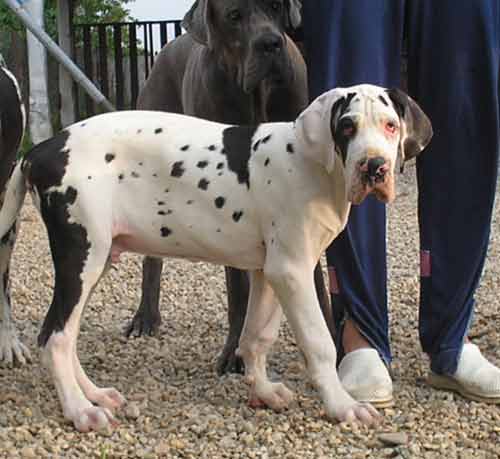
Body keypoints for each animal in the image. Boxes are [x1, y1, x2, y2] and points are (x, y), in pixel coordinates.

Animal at [0, 84, 432, 431]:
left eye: (391, 126)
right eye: (347, 127)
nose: (374, 167)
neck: (314, 164)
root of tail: (39, 150)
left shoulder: (268, 271)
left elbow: (256, 336)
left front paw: (262, 391)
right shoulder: (292, 270)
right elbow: (319, 343)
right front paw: (342, 406)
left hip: (99, 257)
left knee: (64, 335)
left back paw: (94, 394)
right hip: (81, 255)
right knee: (55, 337)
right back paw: (79, 410)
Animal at [128, 0, 333, 376]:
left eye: (277, 7)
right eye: (234, 16)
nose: (271, 43)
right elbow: (236, 286)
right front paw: (234, 353)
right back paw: (145, 317)